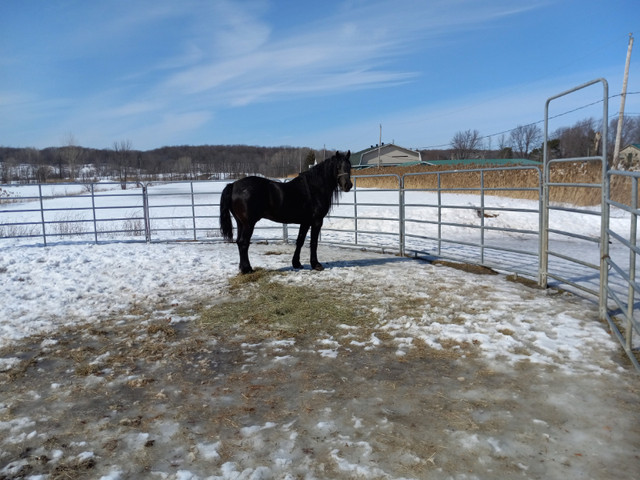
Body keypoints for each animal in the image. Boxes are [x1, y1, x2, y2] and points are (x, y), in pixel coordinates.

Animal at [219, 150, 350, 274]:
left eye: (349, 166)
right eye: (338, 167)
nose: (348, 185)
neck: (314, 188)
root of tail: (233, 185)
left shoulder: (305, 222)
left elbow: (300, 241)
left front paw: (296, 263)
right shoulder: (316, 221)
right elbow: (313, 242)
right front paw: (316, 264)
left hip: (240, 223)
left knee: (238, 242)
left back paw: (242, 268)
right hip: (249, 224)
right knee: (243, 243)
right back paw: (248, 269)